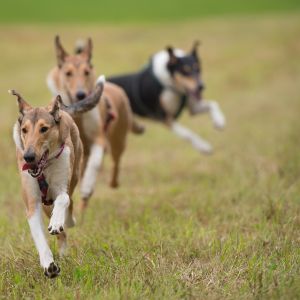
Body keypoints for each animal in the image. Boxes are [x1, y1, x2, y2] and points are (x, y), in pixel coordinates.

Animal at [10, 81, 103, 278]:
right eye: (24, 130)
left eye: (44, 129)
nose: (29, 157)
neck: (44, 169)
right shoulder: (33, 203)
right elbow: (39, 236)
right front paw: (49, 265)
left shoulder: (61, 186)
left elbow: (63, 198)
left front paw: (56, 222)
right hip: (45, 204)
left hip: (73, 175)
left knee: (70, 204)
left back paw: (65, 222)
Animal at [47, 35, 144, 213]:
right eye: (68, 73)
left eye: (86, 72)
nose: (80, 94)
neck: (78, 114)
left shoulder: (99, 139)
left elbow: (96, 163)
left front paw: (86, 188)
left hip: (118, 140)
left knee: (115, 163)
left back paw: (110, 183)